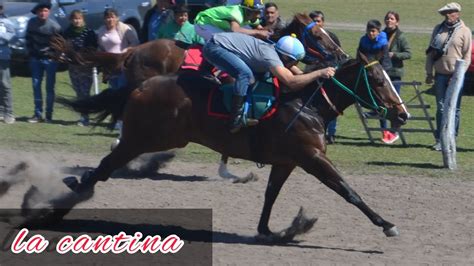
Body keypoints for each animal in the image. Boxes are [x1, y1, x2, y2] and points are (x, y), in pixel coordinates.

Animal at [51, 13, 348, 182]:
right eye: (318, 34)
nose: (342, 55)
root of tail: (133, 50)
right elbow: (236, 116)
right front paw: (229, 171)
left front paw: (230, 170)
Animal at [56, 54, 408, 243]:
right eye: (378, 81)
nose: (402, 114)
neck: (308, 104)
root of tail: (142, 84)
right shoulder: (312, 158)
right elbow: (349, 191)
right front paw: (387, 225)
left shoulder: (287, 161)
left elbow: (270, 195)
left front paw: (268, 230)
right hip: (143, 138)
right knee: (105, 167)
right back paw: (63, 203)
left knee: (106, 166)